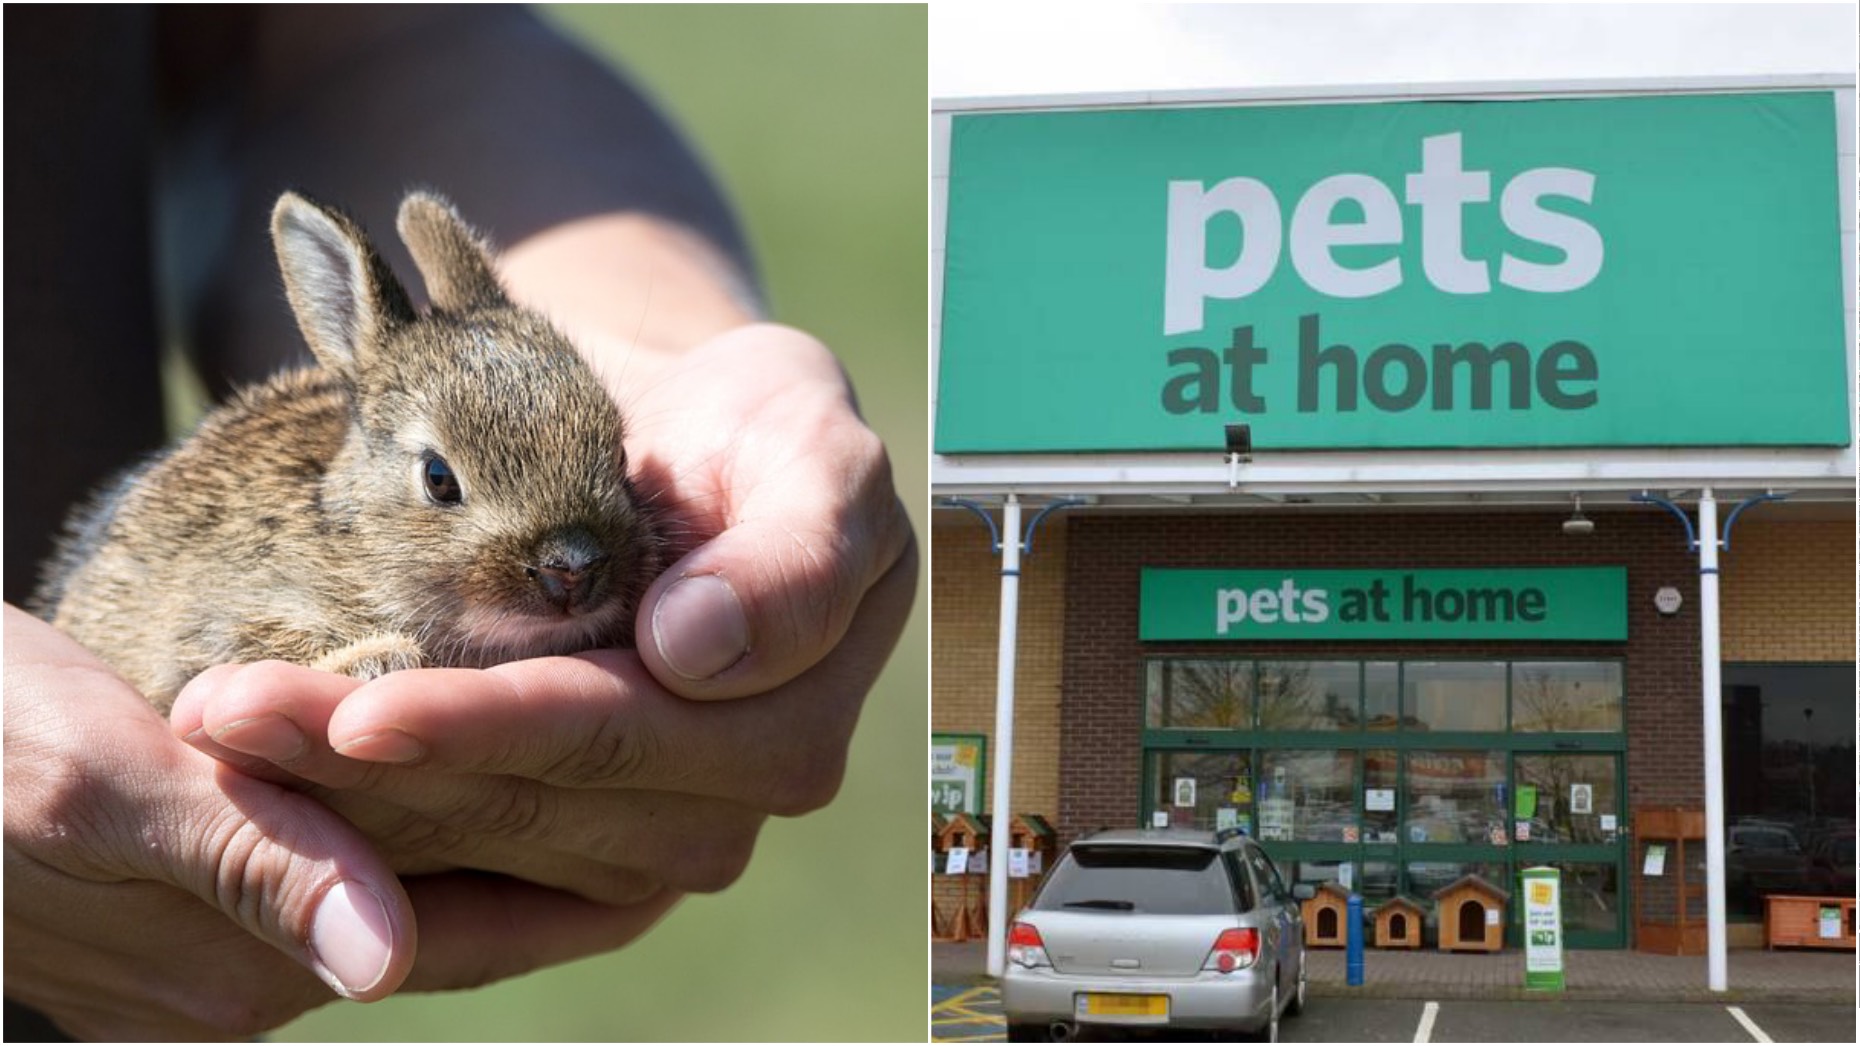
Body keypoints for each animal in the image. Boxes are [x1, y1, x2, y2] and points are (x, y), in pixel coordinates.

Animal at [32, 188, 665, 707]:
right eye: (438, 479)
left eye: (620, 455)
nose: (573, 569)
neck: (355, 541)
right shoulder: (214, 626)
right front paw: (378, 659)